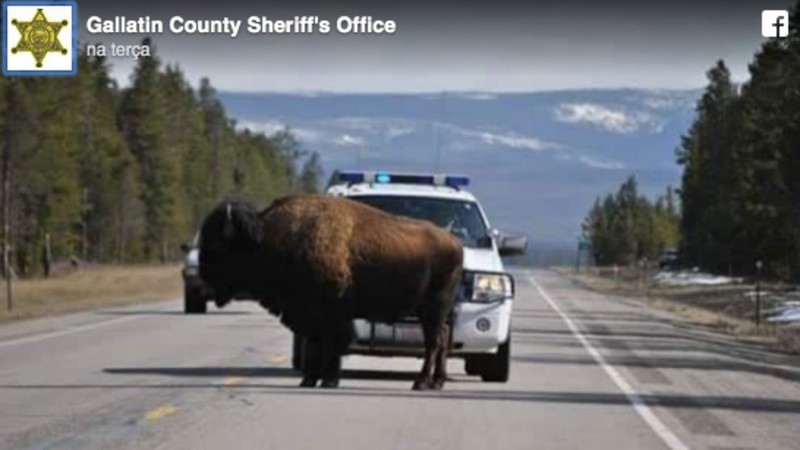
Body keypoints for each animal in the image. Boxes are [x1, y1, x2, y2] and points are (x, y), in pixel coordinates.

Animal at [198, 195, 462, 388]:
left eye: (216, 244)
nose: (201, 277)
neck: (271, 238)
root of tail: (455, 242)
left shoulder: (331, 314)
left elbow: (331, 345)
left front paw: (328, 381)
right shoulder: (308, 315)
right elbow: (315, 345)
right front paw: (308, 381)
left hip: (432, 309)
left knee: (433, 343)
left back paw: (421, 383)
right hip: (433, 312)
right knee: (441, 340)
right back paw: (436, 382)